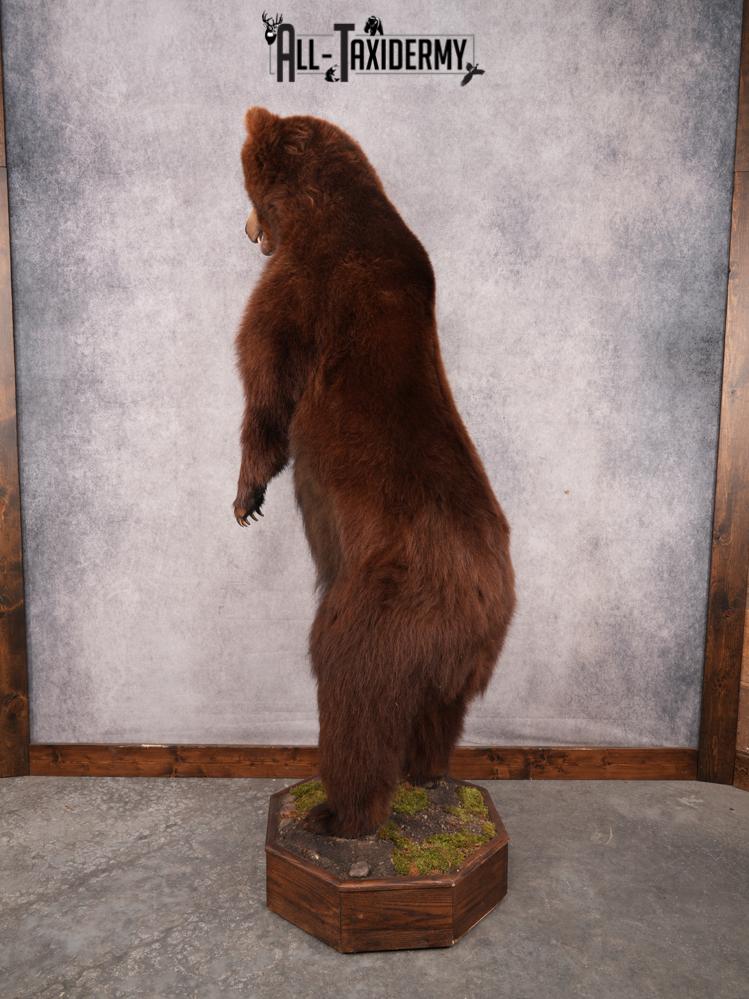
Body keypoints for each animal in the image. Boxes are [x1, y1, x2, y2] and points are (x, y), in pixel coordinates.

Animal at [234, 107, 516, 838]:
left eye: (245, 173)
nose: (247, 229)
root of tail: (482, 607)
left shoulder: (303, 287)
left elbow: (265, 371)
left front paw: (246, 494)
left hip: (376, 618)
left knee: (352, 703)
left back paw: (335, 813)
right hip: (449, 672)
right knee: (433, 723)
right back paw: (428, 777)